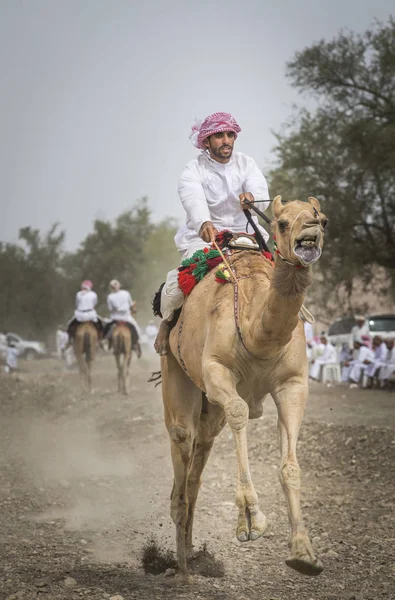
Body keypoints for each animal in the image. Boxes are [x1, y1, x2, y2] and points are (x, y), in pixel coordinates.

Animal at [160, 196, 328, 576]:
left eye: (323, 219)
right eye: (281, 222)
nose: (310, 231)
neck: (255, 332)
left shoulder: (293, 384)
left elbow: (290, 466)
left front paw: (303, 552)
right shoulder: (216, 371)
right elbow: (238, 410)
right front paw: (250, 520)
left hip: (210, 411)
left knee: (199, 460)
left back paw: (190, 555)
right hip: (176, 368)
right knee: (182, 441)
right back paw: (181, 570)